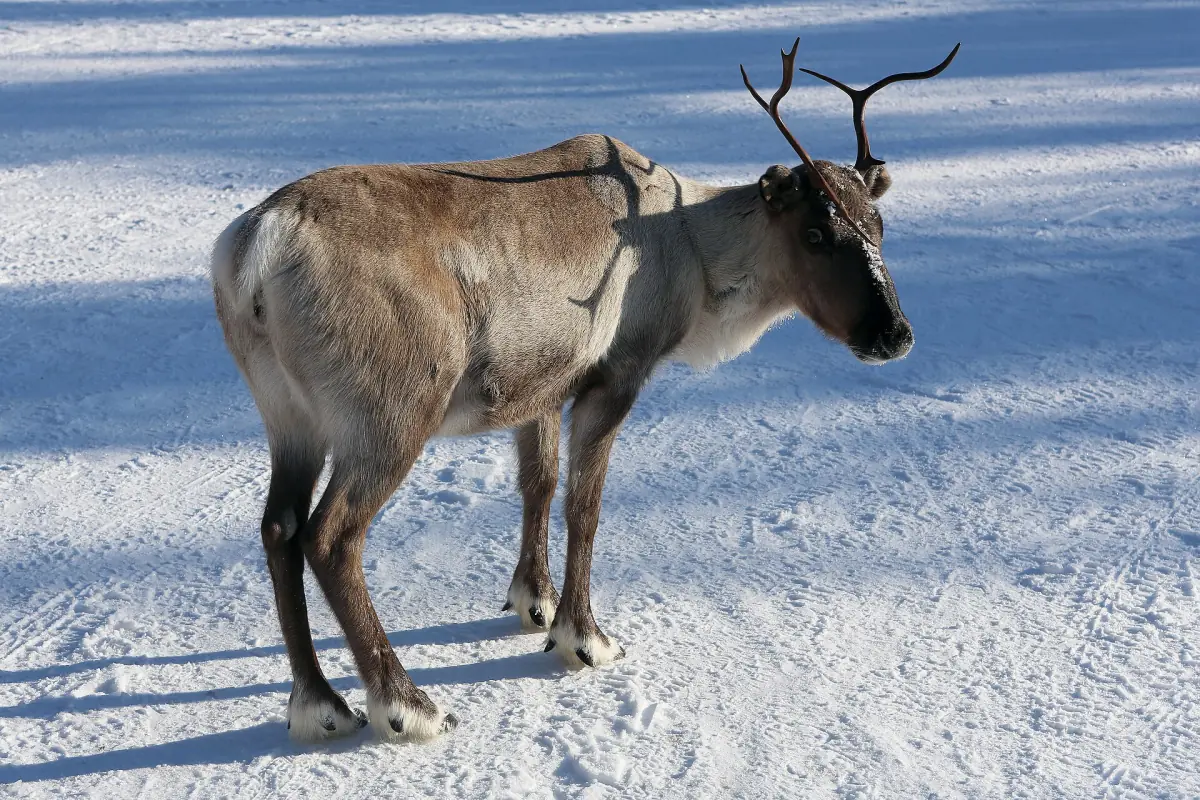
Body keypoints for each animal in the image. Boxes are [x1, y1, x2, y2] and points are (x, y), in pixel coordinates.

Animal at [210, 38, 959, 743]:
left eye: (877, 227)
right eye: (814, 231)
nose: (894, 335)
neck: (693, 252)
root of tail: (258, 248)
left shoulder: (538, 388)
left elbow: (537, 485)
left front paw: (532, 602)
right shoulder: (616, 373)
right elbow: (585, 505)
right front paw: (584, 637)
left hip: (288, 415)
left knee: (278, 526)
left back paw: (318, 705)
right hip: (390, 412)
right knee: (332, 536)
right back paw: (407, 705)